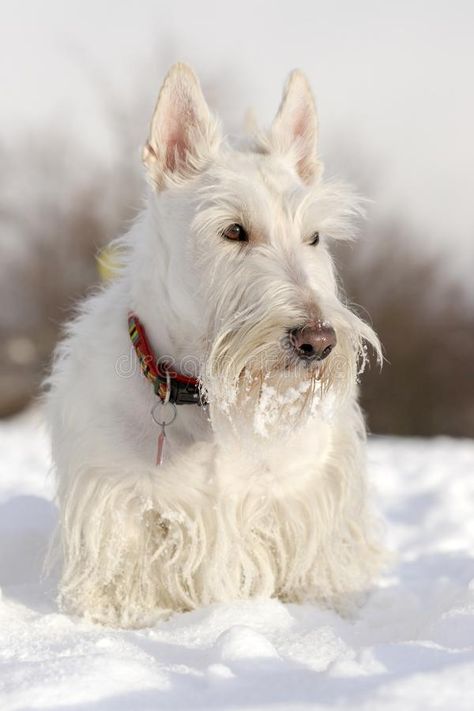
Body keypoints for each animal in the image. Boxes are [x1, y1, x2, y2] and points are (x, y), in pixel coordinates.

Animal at [46, 62, 384, 628]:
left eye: (314, 237)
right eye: (233, 231)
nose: (317, 341)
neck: (206, 399)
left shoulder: (299, 492)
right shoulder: (119, 495)